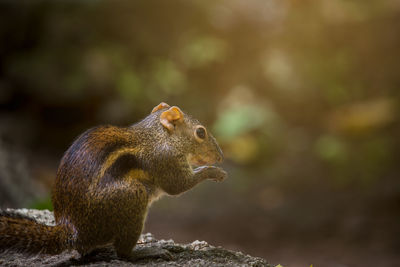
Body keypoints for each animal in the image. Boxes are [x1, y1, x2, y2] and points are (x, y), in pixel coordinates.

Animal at [0, 102, 227, 262]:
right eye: (200, 132)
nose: (220, 156)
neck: (158, 136)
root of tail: (71, 230)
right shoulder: (165, 159)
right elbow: (178, 185)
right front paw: (213, 171)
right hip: (133, 195)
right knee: (123, 254)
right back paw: (147, 251)